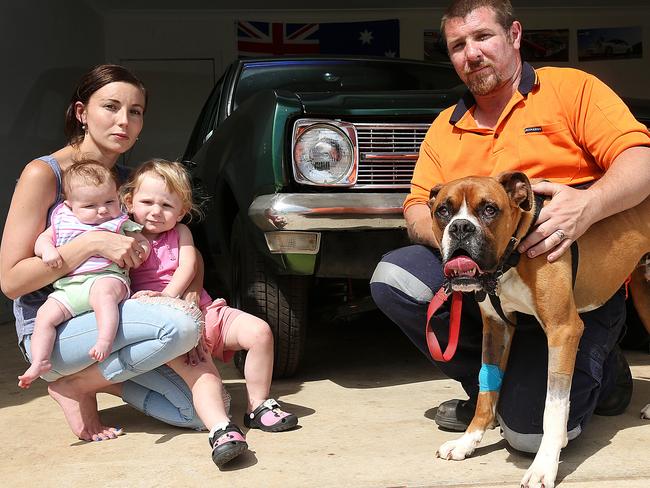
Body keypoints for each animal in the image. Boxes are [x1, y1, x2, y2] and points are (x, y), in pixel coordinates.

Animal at [428, 173, 644, 488]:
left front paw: (544, 465)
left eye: (489, 209)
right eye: (443, 210)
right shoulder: (497, 328)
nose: (460, 227)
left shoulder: (563, 331)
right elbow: (486, 391)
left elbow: (553, 407)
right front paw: (467, 442)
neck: (514, 253)